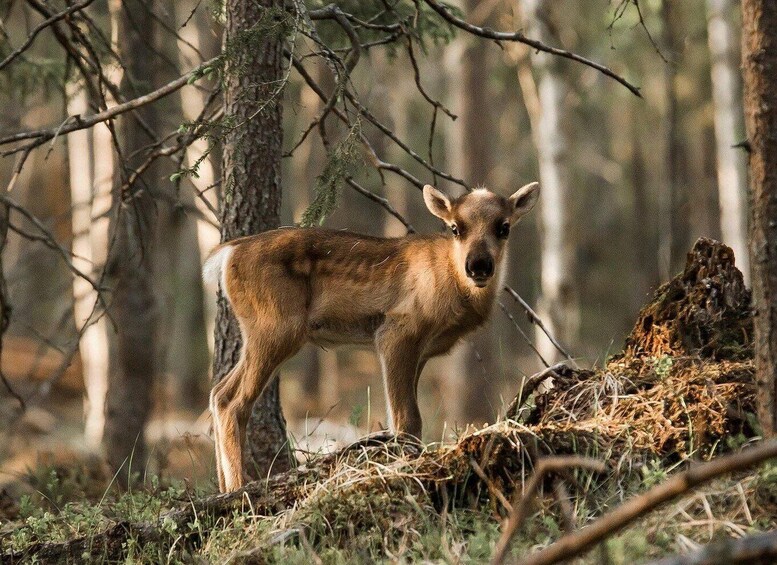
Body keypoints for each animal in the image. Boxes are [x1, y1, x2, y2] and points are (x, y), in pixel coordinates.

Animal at [203, 182, 536, 490]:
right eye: (455, 227)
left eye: (504, 227)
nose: (478, 265)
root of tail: (227, 254)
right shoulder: (396, 331)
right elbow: (407, 419)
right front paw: (407, 467)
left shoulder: (421, 351)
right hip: (276, 326)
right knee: (234, 402)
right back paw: (237, 490)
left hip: (261, 332)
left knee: (219, 393)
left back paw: (223, 487)